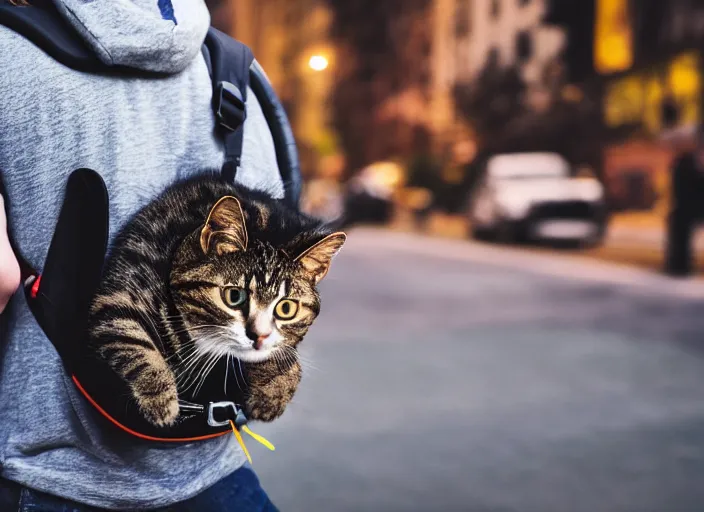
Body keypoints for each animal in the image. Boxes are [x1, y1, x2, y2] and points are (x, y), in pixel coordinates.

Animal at [86, 173, 346, 428]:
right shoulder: (119, 293)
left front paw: (275, 388)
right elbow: (131, 338)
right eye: (234, 296)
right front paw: (159, 398)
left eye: (286, 308)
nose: (259, 336)